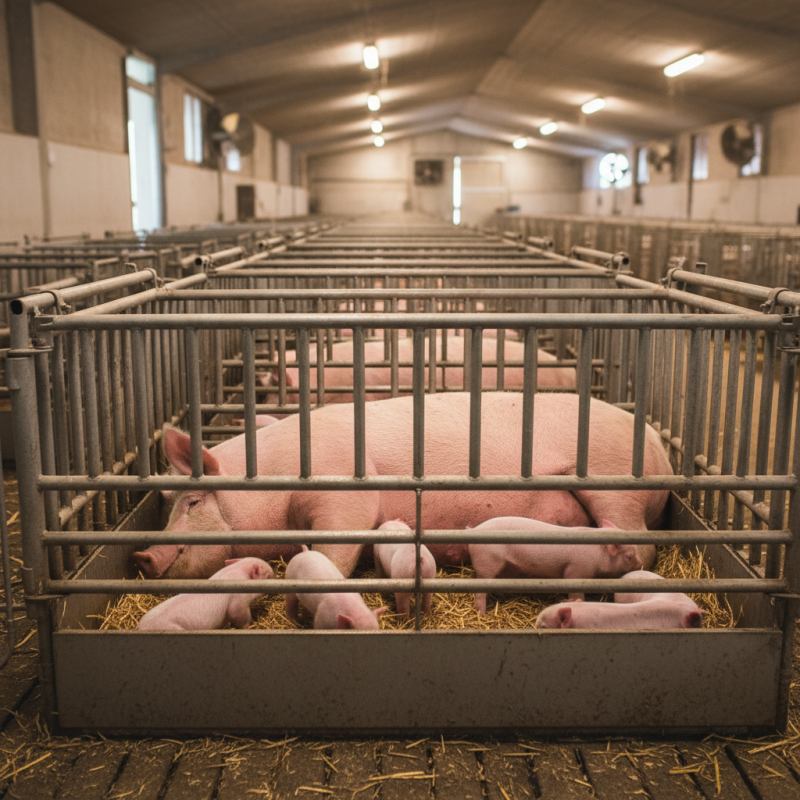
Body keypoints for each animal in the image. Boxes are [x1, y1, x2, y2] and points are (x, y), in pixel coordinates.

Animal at [132, 391, 672, 580]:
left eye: (194, 502)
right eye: (169, 506)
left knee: (641, 547)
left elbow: (336, 550)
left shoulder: (342, 491)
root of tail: (657, 445)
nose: (142, 556)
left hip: (615, 483)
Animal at [136, 557, 273, 631]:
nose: (273, 572)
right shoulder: (239, 602)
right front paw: (249, 625)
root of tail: (142, 628)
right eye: (268, 576)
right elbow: (238, 614)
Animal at [468, 517, 642, 614]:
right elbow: (576, 590)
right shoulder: (577, 569)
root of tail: (473, 530)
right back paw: (482, 614)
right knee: (481, 590)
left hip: (502, 564)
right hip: (486, 561)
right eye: (628, 556)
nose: (641, 565)